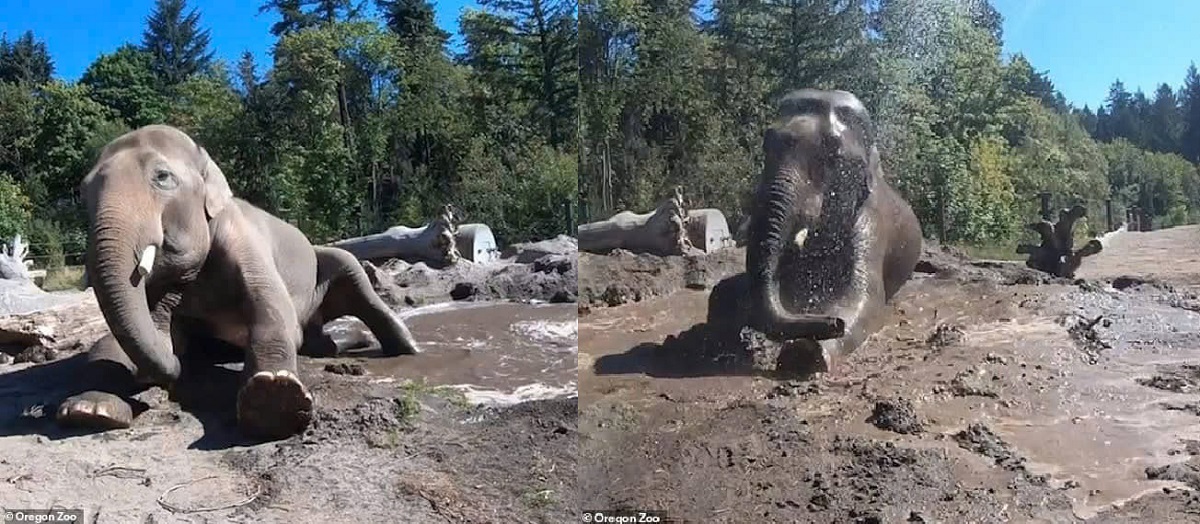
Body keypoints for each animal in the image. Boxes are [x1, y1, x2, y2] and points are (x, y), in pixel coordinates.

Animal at [56, 124, 422, 438]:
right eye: (83, 192)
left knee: (353, 280)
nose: (169, 375)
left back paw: (405, 349)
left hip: (332, 261)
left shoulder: (246, 243)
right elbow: (123, 341)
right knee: (318, 341)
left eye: (162, 177)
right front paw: (89, 410)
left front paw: (274, 397)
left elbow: (276, 316)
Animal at [705, 86, 921, 371]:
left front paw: (805, 354)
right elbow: (725, 293)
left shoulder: (870, 224)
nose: (835, 323)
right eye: (767, 143)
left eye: (831, 155)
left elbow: (865, 297)